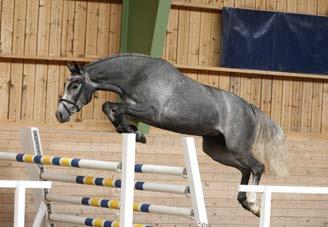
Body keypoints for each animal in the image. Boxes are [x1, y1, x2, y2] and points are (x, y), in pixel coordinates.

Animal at [55, 53, 288, 218]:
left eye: (74, 85)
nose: (60, 114)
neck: (137, 76)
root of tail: (250, 108)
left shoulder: (151, 112)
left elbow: (115, 108)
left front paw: (133, 132)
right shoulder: (135, 109)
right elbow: (111, 108)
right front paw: (130, 131)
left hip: (237, 147)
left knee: (257, 167)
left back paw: (254, 204)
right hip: (217, 151)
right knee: (246, 169)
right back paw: (245, 202)